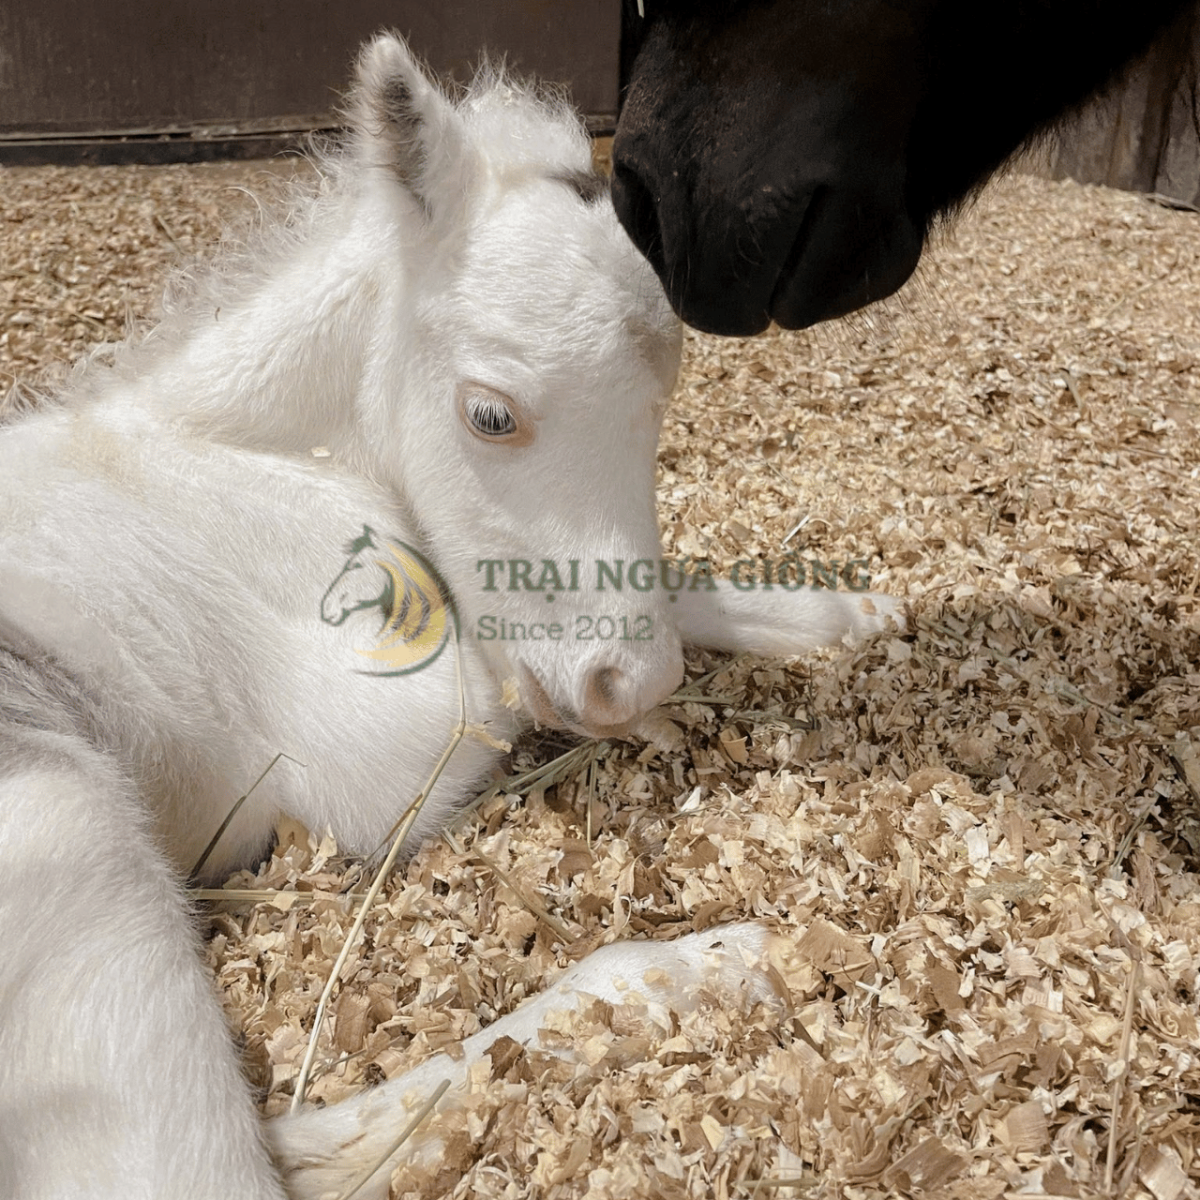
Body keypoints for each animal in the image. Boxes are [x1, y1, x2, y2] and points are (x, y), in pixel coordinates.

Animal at [0, 34, 900, 1200]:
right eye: (490, 414)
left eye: (662, 409)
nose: (631, 684)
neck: (233, 460)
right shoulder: (381, 742)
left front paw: (852, 612)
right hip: (73, 846)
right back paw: (705, 966)